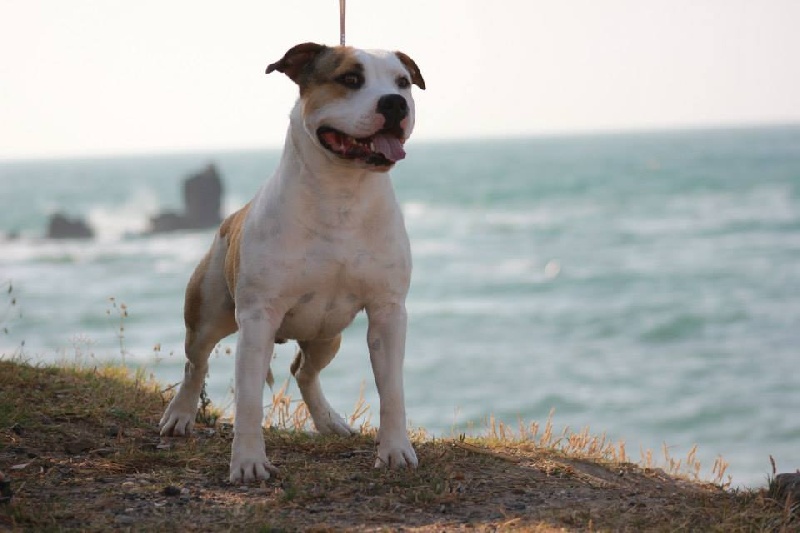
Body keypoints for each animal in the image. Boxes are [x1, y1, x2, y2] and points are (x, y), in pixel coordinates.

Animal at [159, 42, 425, 483]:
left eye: (403, 82)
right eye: (350, 79)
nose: (394, 103)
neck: (341, 194)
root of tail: (231, 219)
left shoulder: (388, 313)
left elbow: (393, 391)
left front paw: (395, 451)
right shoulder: (258, 318)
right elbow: (249, 401)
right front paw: (248, 463)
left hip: (326, 334)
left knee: (304, 370)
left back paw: (329, 421)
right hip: (206, 317)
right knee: (194, 365)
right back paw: (179, 416)